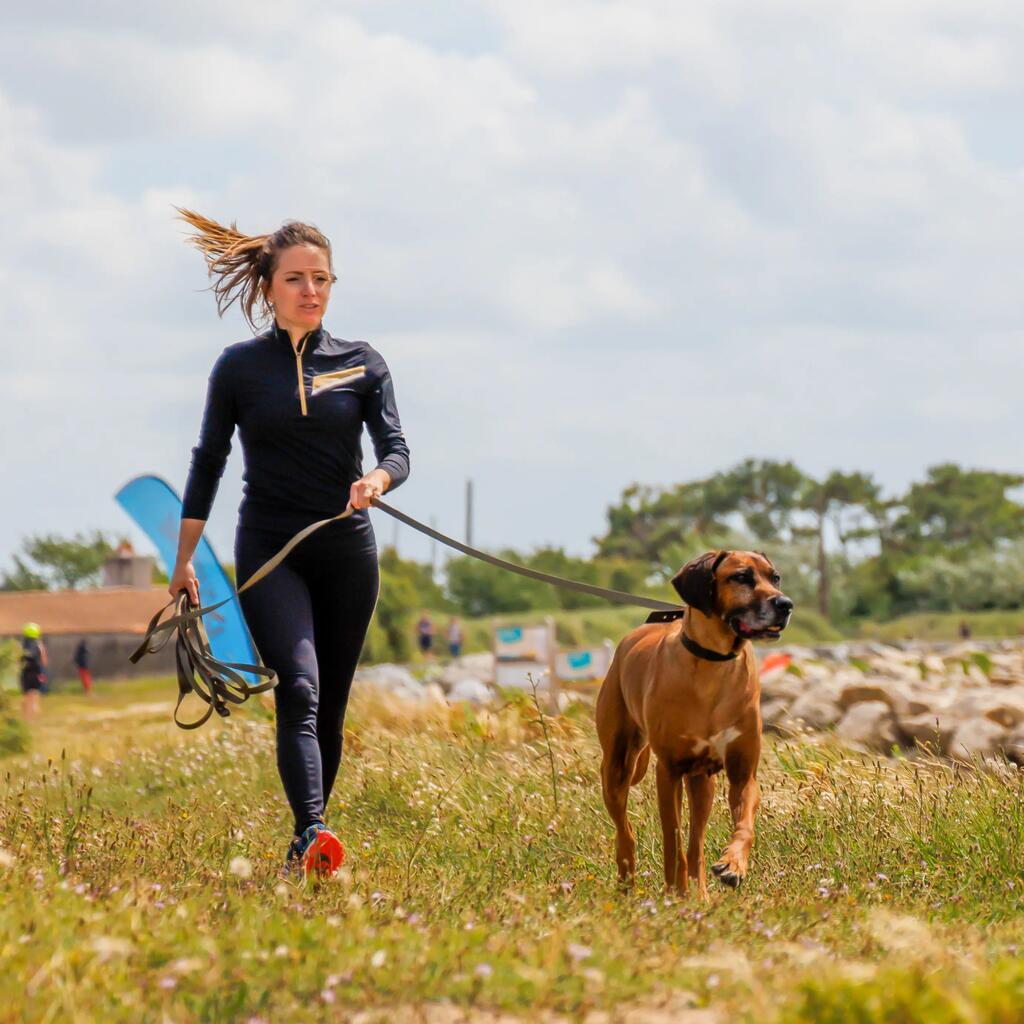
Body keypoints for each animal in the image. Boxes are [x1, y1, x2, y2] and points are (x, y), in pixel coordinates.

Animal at [598, 552, 794, 897]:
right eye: (741, 577)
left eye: (775, 577)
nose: (785, 604)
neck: (714, 663)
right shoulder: (669, 770)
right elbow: (672, 839)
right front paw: (673, 893)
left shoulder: (743, 772)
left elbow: (743, 825)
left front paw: (733, 865)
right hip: (616, 767)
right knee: (626, 833)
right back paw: (629, 883)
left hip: (703, 782)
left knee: (696, 842)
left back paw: (699, 891)